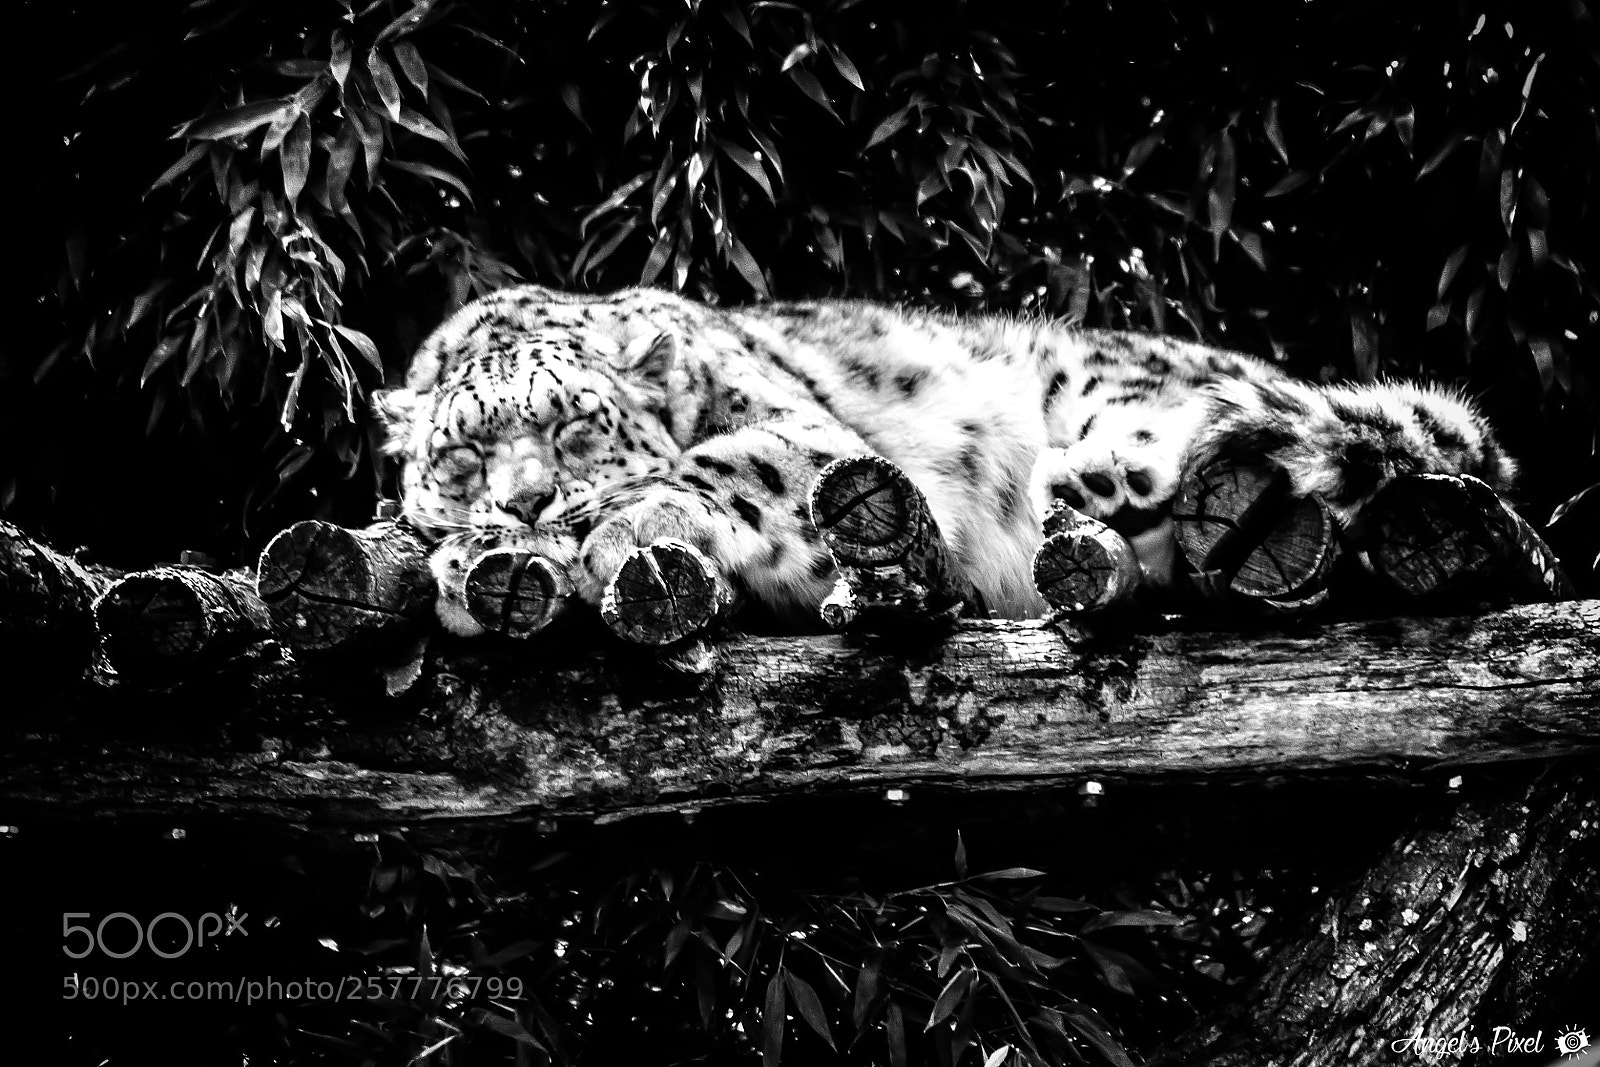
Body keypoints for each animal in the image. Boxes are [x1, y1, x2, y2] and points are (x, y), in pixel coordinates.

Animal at [371, 284, 1515, 636]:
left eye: (577, 427)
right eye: (463, 454)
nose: (527, 502)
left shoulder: (812, 442)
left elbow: (728, 464)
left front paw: (619, 519)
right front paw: (468, 560)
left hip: (1105, 378)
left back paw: (1101, 475)